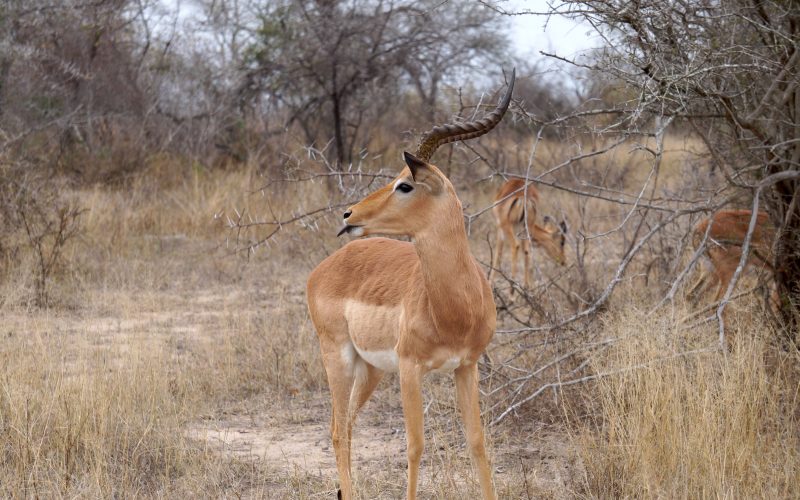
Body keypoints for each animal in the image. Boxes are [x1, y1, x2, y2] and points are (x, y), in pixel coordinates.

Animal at [304, 70, 512, 500]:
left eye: (405, 185)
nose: (348, 214)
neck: (454, 308)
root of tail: (324, 268)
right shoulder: (410, 369)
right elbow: (415, 446)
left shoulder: (466, 366)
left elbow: (477, 442)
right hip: (339, 358)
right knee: (337, 430)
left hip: (371, 369)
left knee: (344, 426)